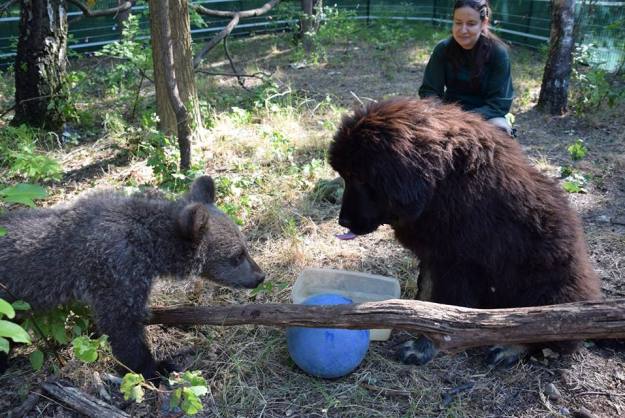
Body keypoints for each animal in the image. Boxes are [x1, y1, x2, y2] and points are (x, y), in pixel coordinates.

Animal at [330, 98, 604, 366]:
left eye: (360, 177)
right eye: (345, 175)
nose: (343, 221)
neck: (439, 184)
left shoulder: (456, 263)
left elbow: (443, 305)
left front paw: (424, 346)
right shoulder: (435, 255)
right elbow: (427, 291)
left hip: (544, 285)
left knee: (545, 328)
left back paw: (509, 349)